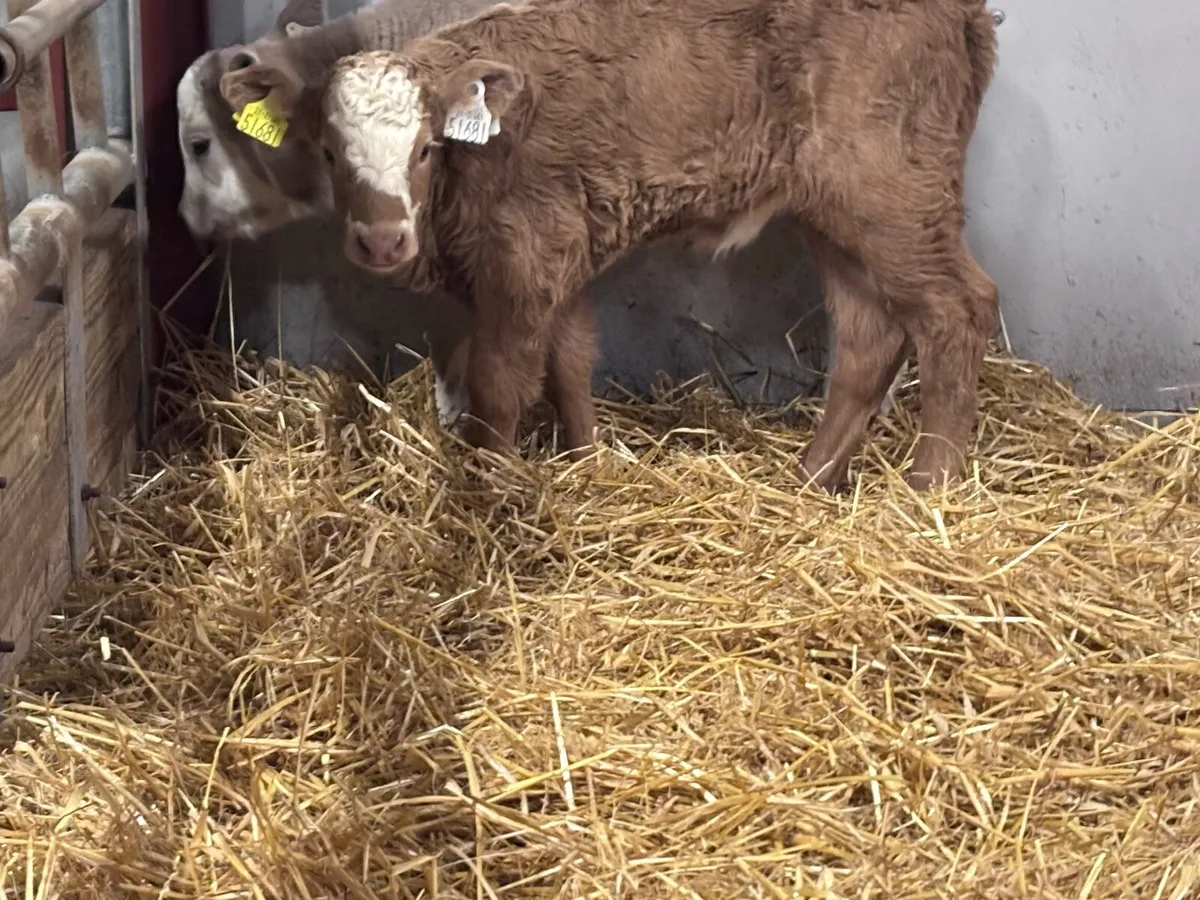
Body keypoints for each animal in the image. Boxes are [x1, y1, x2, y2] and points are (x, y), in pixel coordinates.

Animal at [219, 0, 997, 490]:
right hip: (836, 217)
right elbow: (569, 361)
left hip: (895, 199)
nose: (382, 240)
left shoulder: (525, 260)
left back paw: (929, 488)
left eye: (425, 149)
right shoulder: (559, 253)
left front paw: (490, 489)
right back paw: (812, 478)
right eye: (327, 151)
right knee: (869, 337)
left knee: (957, 310)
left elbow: (500, 383)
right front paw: (584, 458)